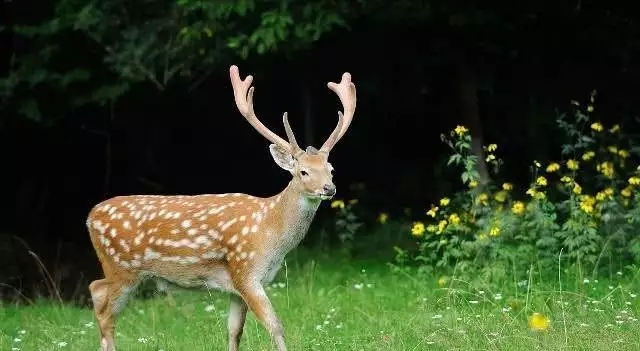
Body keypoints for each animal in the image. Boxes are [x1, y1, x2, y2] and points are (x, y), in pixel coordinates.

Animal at [85, 64, 358, 350]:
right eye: (303, 172)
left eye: (330, 169)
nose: (329, 188)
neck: (270, 230)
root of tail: (90, 216)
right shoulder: (246, 271)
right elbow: (276, 326)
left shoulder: (237, 285)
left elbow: (234, 330)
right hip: (121, 266)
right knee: (102, 302)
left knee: (97, 294)